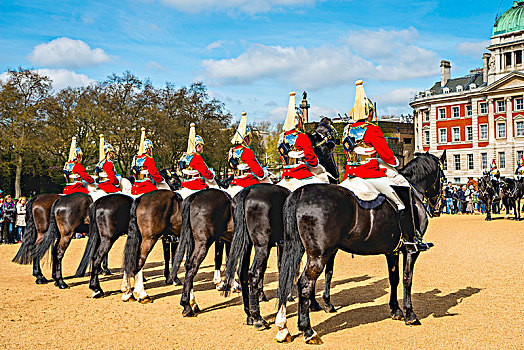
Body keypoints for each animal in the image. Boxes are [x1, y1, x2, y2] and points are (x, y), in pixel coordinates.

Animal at [220, 119, 340, 330]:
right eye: (328, 134)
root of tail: (247, 192)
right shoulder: (324, 248)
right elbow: (325, 273)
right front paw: (323, 303)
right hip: (262, 245)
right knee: (253, 273)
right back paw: (258, 318)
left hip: (247, 244)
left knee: (242, 272)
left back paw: (249, 314)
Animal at [276, 152, 444, 344]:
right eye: (442, 176)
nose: (438, 207)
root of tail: (301, 192)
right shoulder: (410, 250)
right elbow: (407, 279)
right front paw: (410, 314)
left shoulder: (392, 251)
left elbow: (394, 278)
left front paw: (396, 310)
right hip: (319, 255)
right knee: (304, 283)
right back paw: (308, 330)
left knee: (287, 280)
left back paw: (284, 328)